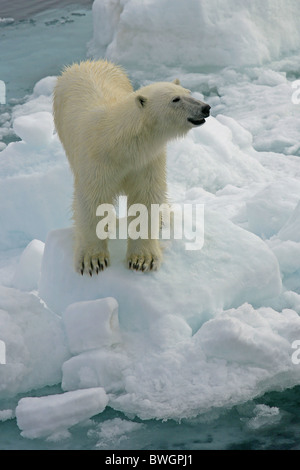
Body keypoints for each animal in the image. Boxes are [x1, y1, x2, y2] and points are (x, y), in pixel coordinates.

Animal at [52, 61, 210, 276]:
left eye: (188, 92)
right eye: (175, 99)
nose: (205, 108)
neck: (121, 144)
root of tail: (86, 62)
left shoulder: (146, 162)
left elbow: (146, 197)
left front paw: (143, 259)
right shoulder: (96, 162)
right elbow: (92, 200)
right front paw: (92, 260)